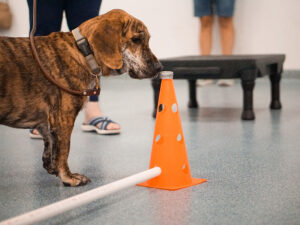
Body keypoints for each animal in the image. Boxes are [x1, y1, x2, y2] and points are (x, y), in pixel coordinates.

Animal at [0, 9, 162, 186]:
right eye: (135, 40)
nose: (159, 67)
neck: (82, 52)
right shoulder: (64, 118)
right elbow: (64, 151)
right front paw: (68, 177)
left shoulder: (47, 123)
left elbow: (50, 147)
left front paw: (52, 167)